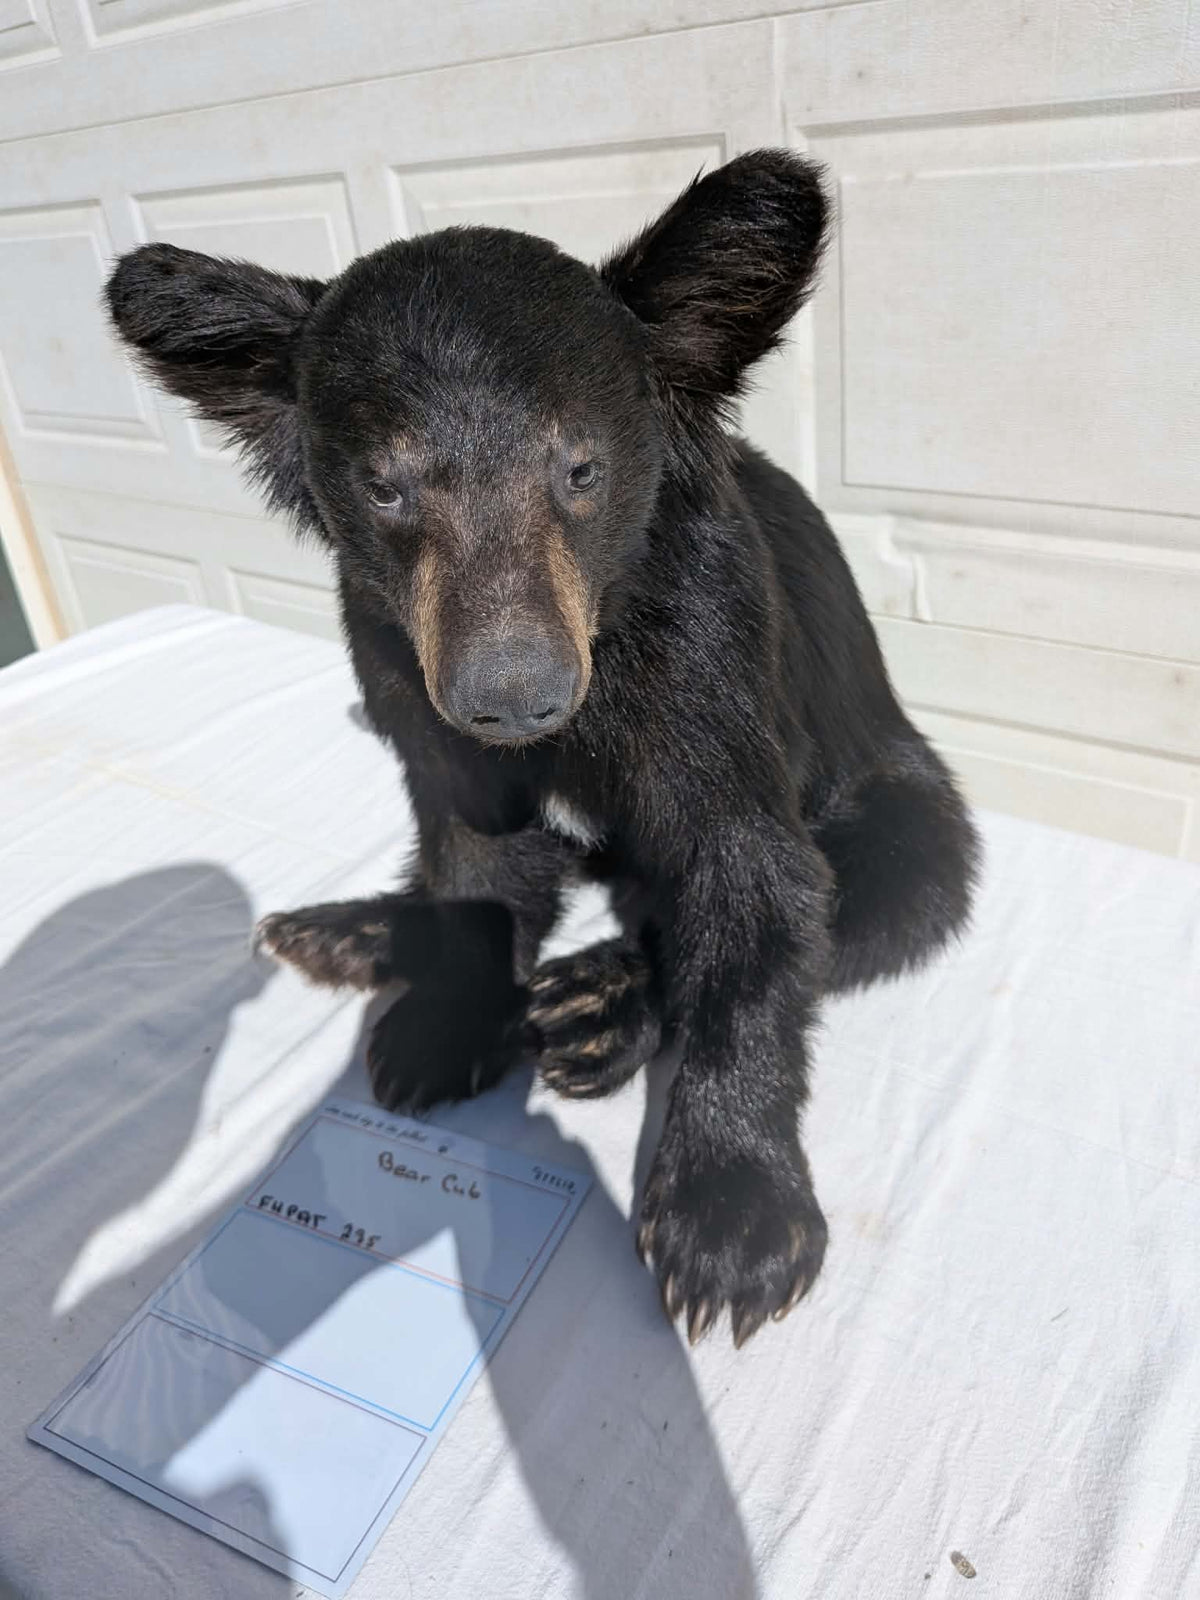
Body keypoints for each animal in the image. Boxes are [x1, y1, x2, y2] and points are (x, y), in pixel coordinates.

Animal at [105, 150, 980, 1348]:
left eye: (581, 470)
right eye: (385, 485)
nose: (513, 700)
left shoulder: (711, 660)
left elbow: (757, 892)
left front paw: (731, 1219)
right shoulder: (404, 671)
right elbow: (473, 851)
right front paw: (443, 1023)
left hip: (904, 801)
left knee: (871, 898)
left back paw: (598, 1006)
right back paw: (349, 930)